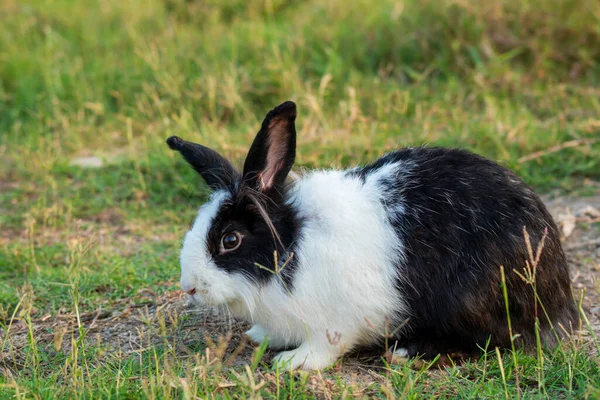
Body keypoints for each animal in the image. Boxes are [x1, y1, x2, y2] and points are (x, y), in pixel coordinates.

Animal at [166, 101, 580, 370]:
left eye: (229, 240)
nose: (190, 287)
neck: (293, 248)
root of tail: (559, 300)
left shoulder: (335, 321)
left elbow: (324, 347)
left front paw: (293, 362)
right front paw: (259, 336)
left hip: (470, 299)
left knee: (490, 342)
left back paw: (408, 352)